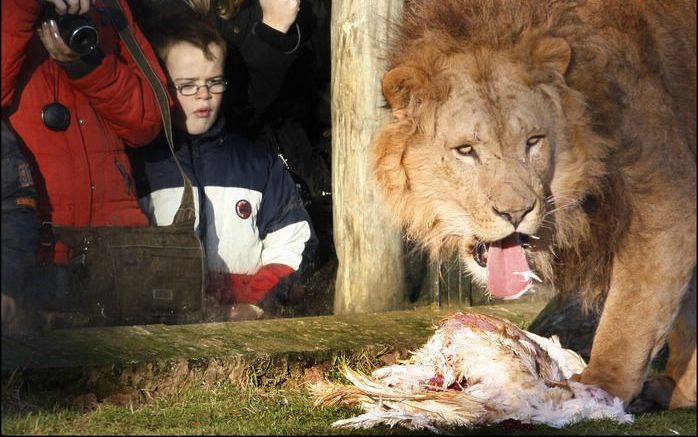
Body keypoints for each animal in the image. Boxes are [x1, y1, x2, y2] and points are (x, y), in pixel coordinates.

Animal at [370, 0, 692, 410]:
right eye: (465, 150)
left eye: (533, 141)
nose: (516, 213)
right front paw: (683, 391)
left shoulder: (666, 194)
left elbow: (629, 317)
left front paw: (600, 389)